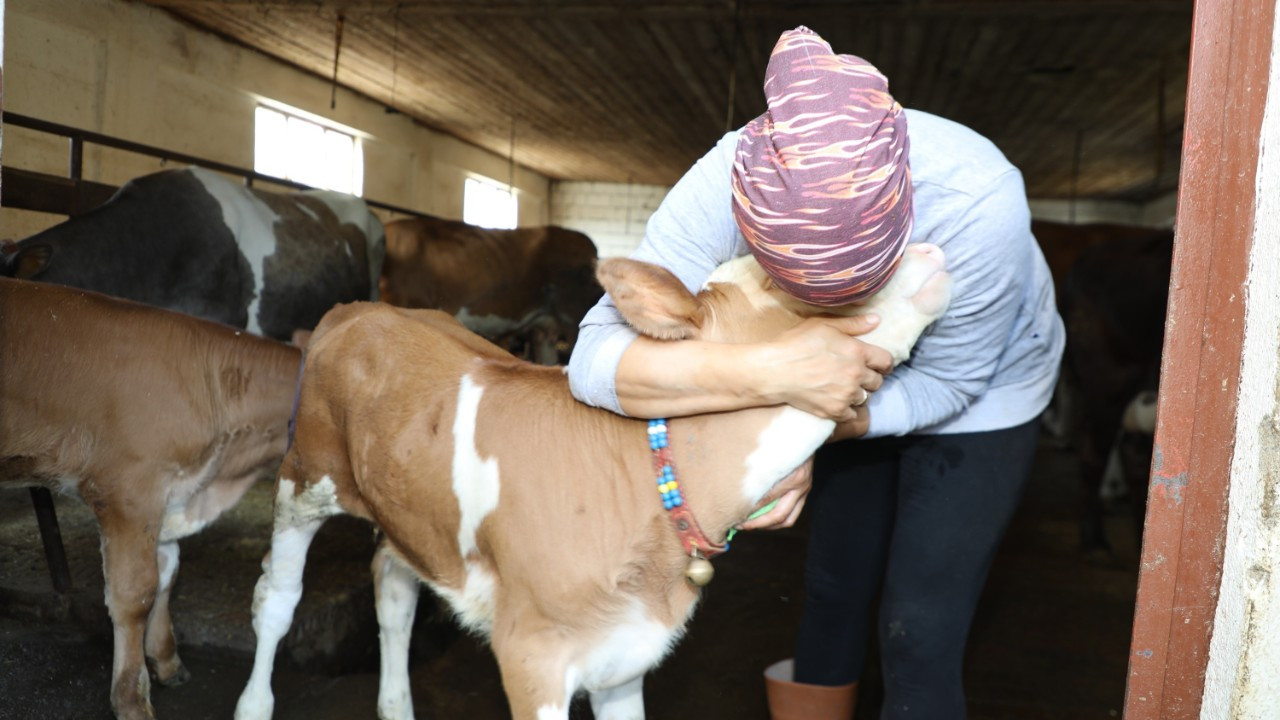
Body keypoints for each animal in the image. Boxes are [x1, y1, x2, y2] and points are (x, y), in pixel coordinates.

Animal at [0, 275, 302, 717]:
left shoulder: (169, 496)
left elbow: (167, 573)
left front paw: (166, 660)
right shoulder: (128, 492)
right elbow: (134, 594)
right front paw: (131, 698)